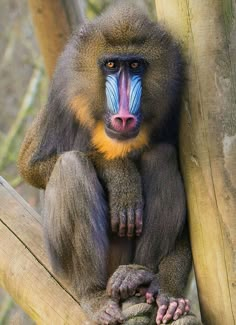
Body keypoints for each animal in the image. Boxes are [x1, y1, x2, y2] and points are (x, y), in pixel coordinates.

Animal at [18, 2, 203, 324]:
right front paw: (121, 177)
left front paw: (168, 290)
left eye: (136, 66)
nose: (124, 117)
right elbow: (31, 167)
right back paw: (94, 296)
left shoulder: (175, 110)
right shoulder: (62, 100)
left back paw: (140, 276)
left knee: (161, 156)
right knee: (70, 166)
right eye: (112, 66)